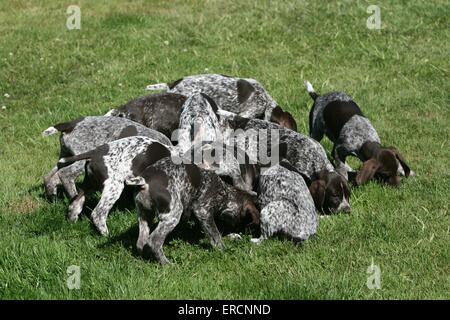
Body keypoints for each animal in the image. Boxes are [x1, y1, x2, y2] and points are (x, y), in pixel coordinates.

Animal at [42, 115, 172, 200]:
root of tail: (70, 125)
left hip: (65, 157)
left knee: (49, 177)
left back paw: (53, 198)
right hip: (80, 160)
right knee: (65, 175)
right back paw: (75, 198)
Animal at [126, 156, 260, 264]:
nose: (237, 229)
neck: (224, 192)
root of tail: (144, 180)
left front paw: (232, 236)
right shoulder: (202, 211)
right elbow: (216, 235)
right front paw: (224, 249)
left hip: (144, 215)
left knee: (141, 243)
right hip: (173, 214)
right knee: (154, 242)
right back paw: (167, 263)